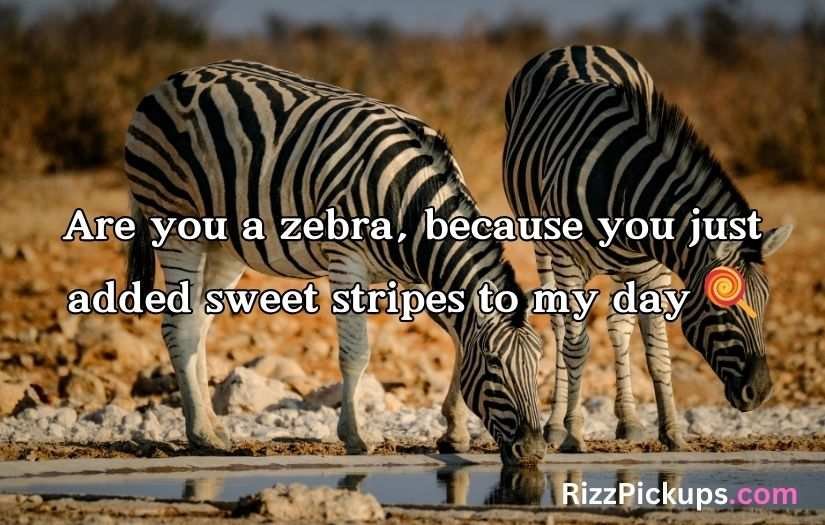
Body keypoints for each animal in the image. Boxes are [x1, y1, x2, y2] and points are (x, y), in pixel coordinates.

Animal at [124, 60, 546, 465]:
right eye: (493, 366)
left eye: (539, 364)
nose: (533, 450)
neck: (409, 202)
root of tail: (168, 81)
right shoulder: (346, 259)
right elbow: (356, 353)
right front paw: (355, 436)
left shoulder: (421, 272)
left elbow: (459, 338)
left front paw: (454, 431)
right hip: (175, 223)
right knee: (179, 327)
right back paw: (201, 435)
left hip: (223, 244)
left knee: (198, 325)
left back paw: (212, 427)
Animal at [499, 45, 792, 452]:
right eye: (720, 305)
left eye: (765, 302)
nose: (761, 392)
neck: (625, 187)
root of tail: (580, 46)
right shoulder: (569, 261)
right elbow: (576, 345)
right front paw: (573, 433)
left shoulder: (654, 270)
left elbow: (657, 354)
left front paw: (672, 432)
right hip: (542, 243)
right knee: (559, 326)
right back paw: (556, 425)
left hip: (629, 270)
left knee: (619, 328)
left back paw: (629, 420)